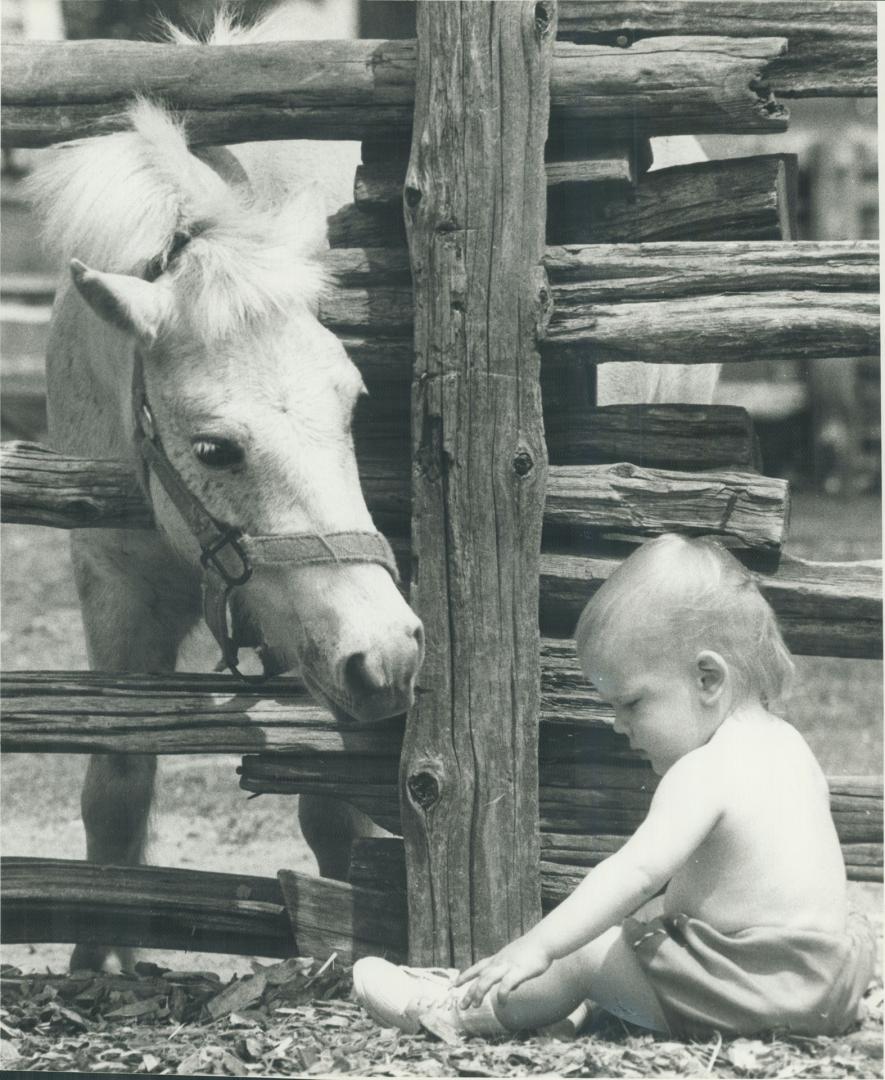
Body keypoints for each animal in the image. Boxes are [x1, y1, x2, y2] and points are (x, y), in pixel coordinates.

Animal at [29, 6, 423, 972]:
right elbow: (114, 787)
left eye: (353, 402)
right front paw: (102, 960)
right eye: (215, 448)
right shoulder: (116, 591)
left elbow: (332, 808)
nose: (393, 653)